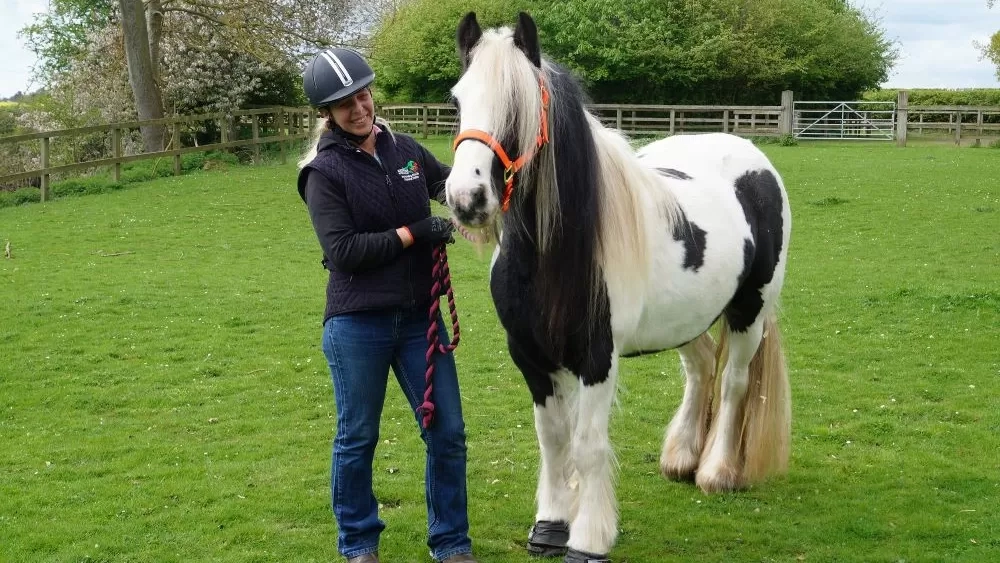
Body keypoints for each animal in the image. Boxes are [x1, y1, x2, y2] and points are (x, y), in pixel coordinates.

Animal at [445, 12, 792, 562]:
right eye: (457, 101)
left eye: (520, 106)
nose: (466, 199)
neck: (554, 257)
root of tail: (750, 155)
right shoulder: (530, 356)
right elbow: (553, 439)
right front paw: (551, 524)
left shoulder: (597, 357)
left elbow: (587, 447)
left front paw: (588, 538)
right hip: (686, 321)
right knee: (700, 372)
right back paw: (682, 459)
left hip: (749, 313)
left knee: (733, 383)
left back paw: (716, 472)